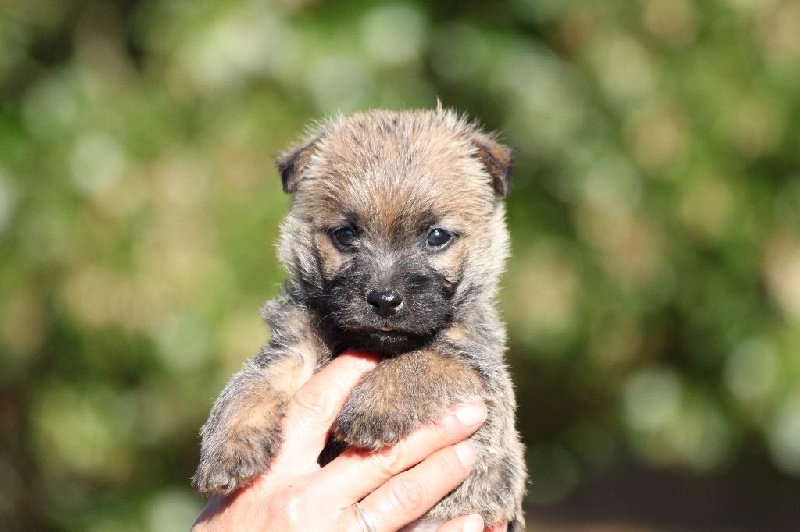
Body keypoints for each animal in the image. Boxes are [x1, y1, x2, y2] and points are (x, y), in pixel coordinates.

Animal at [193, 107, 526, 530]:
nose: (384, 300)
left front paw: (370, 409)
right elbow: (249, 386)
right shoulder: (292, 350)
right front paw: (226, 449)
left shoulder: (479, 366)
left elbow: (423, 363)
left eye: (437, 236)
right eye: (346, 234)